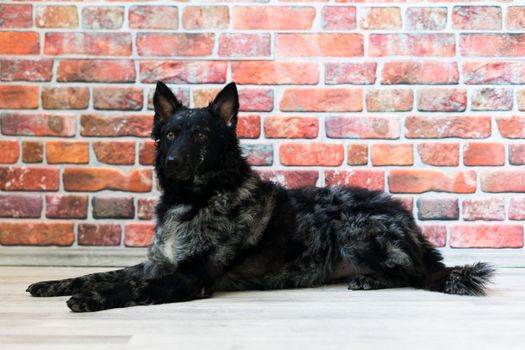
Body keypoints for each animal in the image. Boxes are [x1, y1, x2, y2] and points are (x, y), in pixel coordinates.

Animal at [26, 82, 494, 312]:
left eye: (202, 134)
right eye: (171, 133)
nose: (173, 161)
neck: (193, 201)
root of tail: (408, 222)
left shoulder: (188, 277)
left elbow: (133, 287)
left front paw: (94, 300)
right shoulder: (156, 263)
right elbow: (100, 273)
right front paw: (54, 283)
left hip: (353, 228)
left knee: (416, 274)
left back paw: (371, 279)